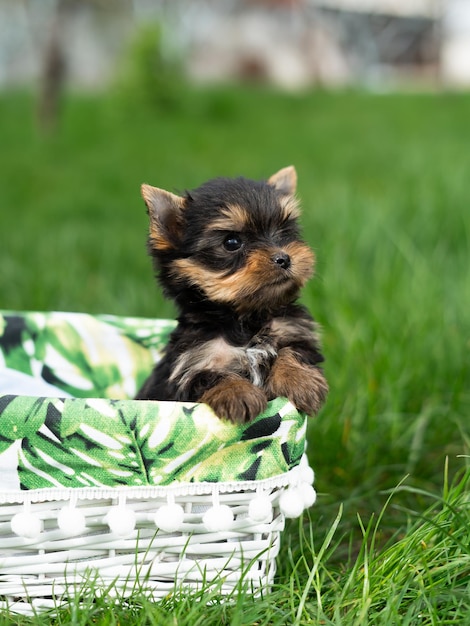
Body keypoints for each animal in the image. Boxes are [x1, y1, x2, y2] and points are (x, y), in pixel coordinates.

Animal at [134, 166, 328, 422]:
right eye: (232, 242)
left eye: (284, 232)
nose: (284, 258)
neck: (245, 318)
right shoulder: (192, 362)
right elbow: (208, 375)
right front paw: (238, 393)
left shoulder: (294, 330)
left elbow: (292, 350)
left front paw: (299, 380)